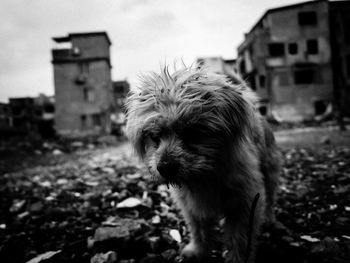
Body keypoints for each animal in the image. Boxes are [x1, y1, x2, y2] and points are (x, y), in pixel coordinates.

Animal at [124, 66, 280, 263]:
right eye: (153, 136)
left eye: (192, 132)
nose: (164, 167)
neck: (204, 176)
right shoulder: (191, 205)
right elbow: (198, 229)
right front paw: (198, 250)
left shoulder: (243, 203)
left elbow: (240, 238)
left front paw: (237, 259)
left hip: (270, 168)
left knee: (270, 196)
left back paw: (270, 218)